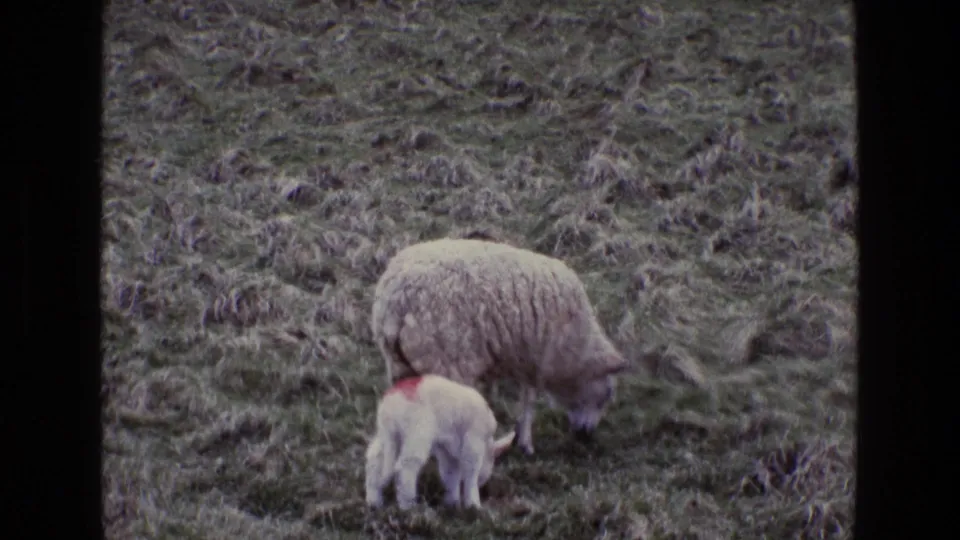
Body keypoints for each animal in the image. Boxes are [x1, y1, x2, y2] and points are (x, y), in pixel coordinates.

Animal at [364, 374, 515, 510]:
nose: (482, 484)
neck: (487, 442)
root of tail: (391, 402)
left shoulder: (445, 448)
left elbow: (450, 473)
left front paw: (452, 503)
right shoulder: (473, 441)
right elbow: (470, 471)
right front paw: (473, 505)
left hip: (387, 435)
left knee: (374, 458)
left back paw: (374, 500)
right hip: (418, 433)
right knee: (405, 467)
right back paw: (408, 507)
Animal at [370, 237, 629, 456]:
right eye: (606, 395)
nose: (586, 436)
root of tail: (398, 300)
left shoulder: (515, 356)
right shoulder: (537, 357)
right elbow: (529, 400)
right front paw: (526, 443)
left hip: (400, 363)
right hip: (446, 364)